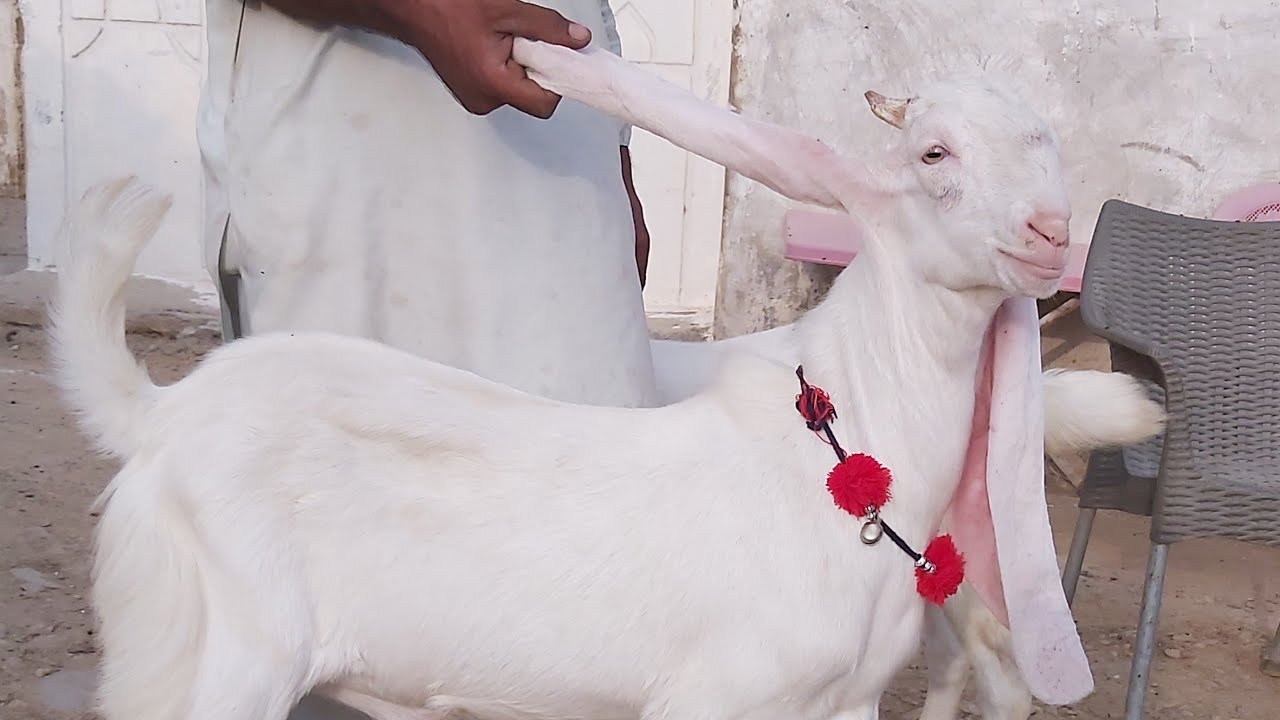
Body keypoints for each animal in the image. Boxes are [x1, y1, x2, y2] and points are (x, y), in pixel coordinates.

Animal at [54, 40, 1104, 720]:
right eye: (935, 152)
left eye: (1050, 146)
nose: (1051, 233)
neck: (855, 430)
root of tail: (158, 414)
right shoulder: (719, 696)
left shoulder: (842, 704)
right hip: (213, 659)